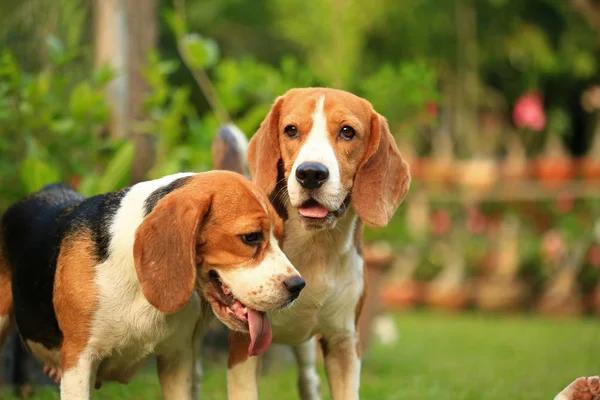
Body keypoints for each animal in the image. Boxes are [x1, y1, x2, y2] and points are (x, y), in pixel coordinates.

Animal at [0, 171, 302, 400]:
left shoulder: (177, 359)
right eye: (250, 237)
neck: (136, 281)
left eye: (280, 237)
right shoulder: (78, 363)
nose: (298, 286)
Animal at [226, 88, 412, 400]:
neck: (315, 248)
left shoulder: (343, 342)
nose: (311, 173)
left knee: (308, 380)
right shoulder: (244, 346)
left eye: (347, 132)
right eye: (291, 130)